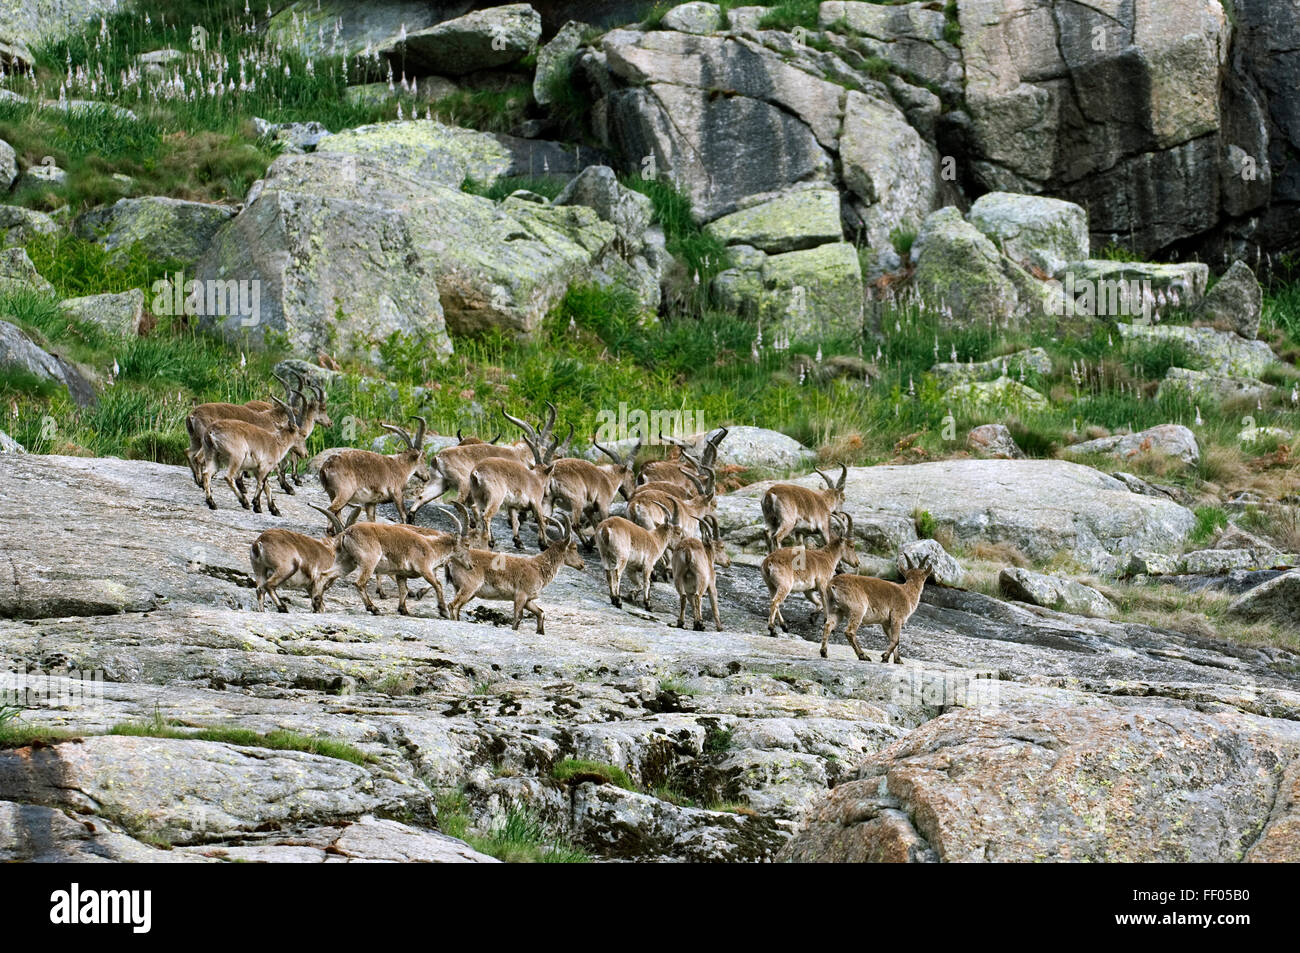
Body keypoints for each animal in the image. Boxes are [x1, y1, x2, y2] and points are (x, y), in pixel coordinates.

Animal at [445, 513, 584, 634]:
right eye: (574, 547)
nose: (582, 564)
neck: (539, 568)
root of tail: (450, 560)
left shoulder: (528, 599)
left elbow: (541, 612)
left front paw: (540, 632)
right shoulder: (520, 595)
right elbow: (517, 618)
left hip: (461, 588)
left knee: (456, 606)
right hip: (469, 586)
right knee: (453, 605)